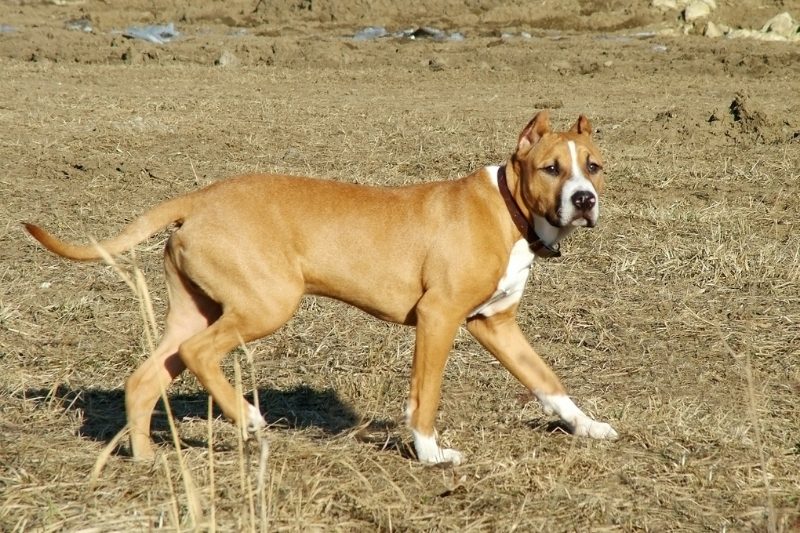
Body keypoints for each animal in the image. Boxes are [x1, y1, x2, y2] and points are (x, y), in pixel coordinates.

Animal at [23, 110, 620, 464]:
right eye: (550, 169)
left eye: (593, 166)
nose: (584, 200)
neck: (509, 211)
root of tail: (199, 198)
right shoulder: (439, 318)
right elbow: (426, 395)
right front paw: (430, 453)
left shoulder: (497, 325)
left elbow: (547, 380)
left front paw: (588, 427)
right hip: (267, 304)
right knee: (199, 354)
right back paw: (249, 419)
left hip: (197, 308)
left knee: (146, 377)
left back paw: (148, 458)